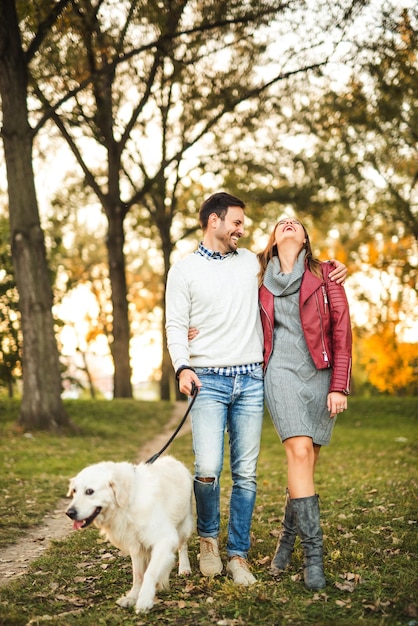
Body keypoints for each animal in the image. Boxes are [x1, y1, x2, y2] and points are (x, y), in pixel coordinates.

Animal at [66, 454, 194, 608]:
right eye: (74, 491)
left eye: (89, 491)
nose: (69, 513)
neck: (128, 500)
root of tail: (172, 459)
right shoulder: (135, 545)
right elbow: (137, 575)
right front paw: (132, 597)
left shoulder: (165, 539)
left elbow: (150, 572)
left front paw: (144, 600)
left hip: (183, 526)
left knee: (183, 546)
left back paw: (184, 568)